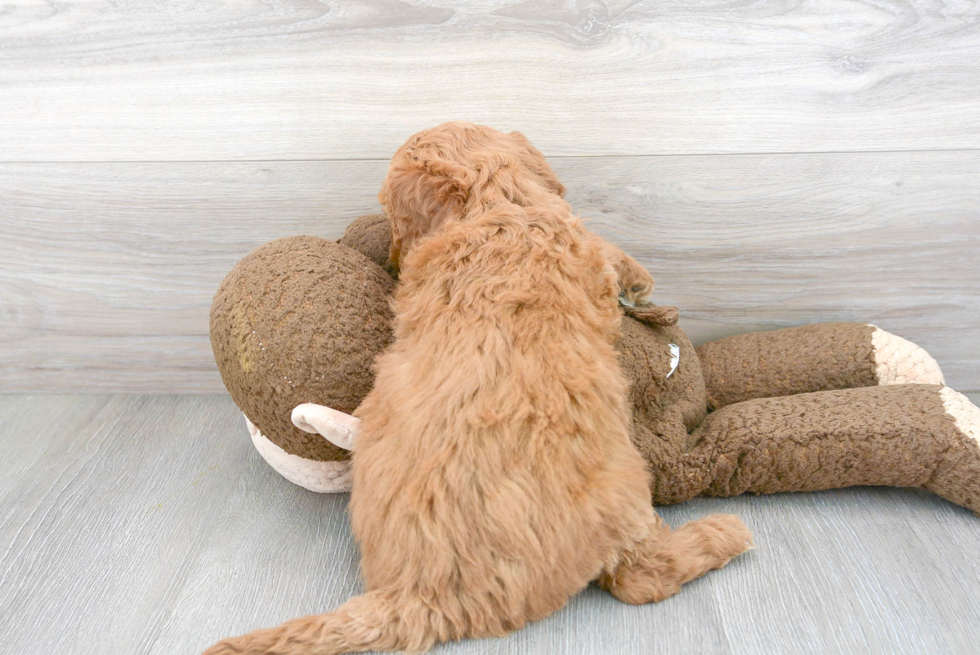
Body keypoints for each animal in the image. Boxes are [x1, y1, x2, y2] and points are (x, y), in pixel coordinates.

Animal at [201, 124, 752, 655]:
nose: (394, 262)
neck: (499, 203)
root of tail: (419, 597)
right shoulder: (586, 249)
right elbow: (614, 255)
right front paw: (639, 282)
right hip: (624, 487)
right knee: (641, 577)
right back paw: (725, 533)